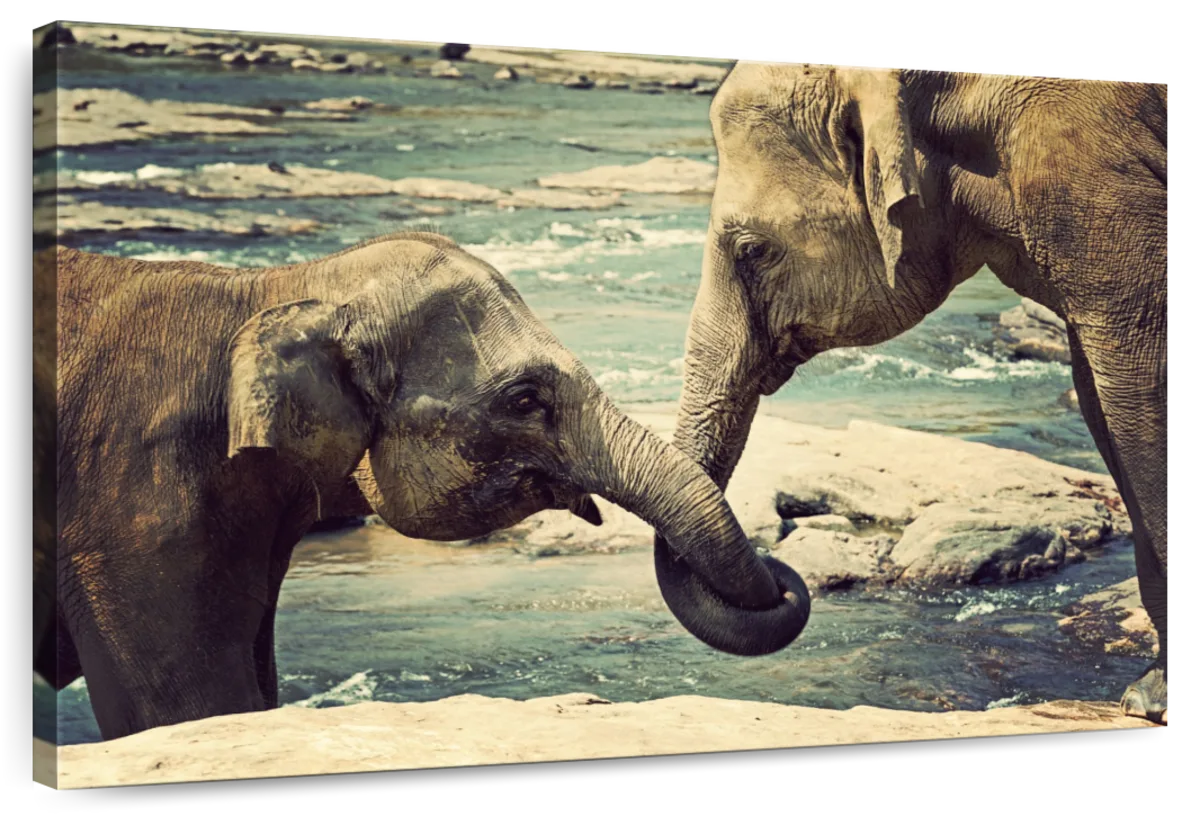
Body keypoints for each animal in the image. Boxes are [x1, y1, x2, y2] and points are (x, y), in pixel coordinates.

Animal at [663, 63, 1167, 724]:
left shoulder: (1099, 175)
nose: (781, 574)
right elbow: (1101, 402)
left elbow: (1138, 386)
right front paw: (1147, 696)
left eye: (753, 250)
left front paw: (1154, 696)